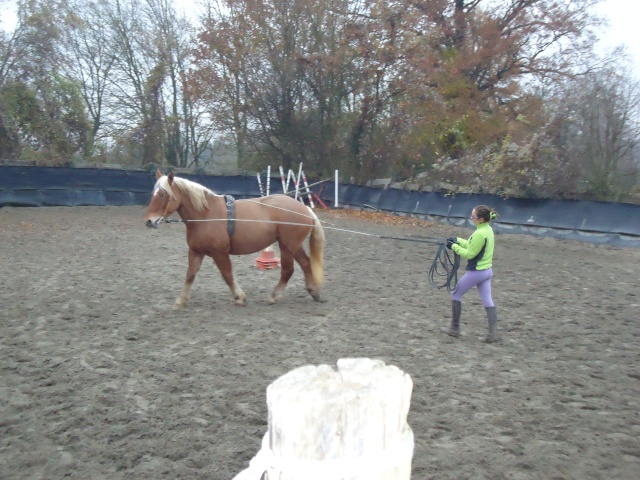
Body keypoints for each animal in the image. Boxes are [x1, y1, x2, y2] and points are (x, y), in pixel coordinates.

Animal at [144, 171, 324, 310]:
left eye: (163, 195)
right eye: (152, 194)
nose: (149, 221)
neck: (206, 215)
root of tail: (304, 208)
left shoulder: (220, 253)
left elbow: (227, 275)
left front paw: (239, 297)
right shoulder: (195, 252)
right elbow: (190, 275)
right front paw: (181, 301)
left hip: (287, 246)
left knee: (287, 270)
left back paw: (274, 296)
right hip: (294, 246)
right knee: (306, 263)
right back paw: (313, 291)